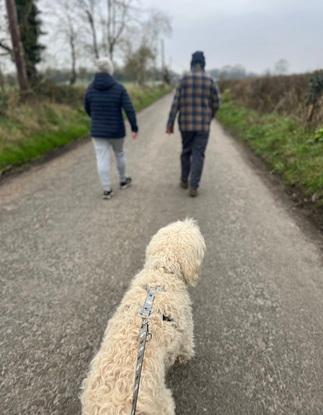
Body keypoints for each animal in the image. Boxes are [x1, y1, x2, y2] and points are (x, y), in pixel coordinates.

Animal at [82, 219, 206, 414]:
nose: (192, 222)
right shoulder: (186, 325)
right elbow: (186, 344)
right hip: (163, 403)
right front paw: (184, 357)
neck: (163, 271)